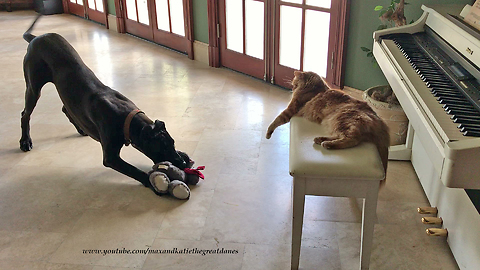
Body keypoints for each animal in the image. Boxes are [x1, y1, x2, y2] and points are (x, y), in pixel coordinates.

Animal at [19, 14, 188, 194]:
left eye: (172, 143)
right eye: (162, 147)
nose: (182, 163)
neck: (125, 117)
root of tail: (36, 38)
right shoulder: (111, 157)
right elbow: (133, 170)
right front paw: (151, 181)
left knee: (66, 108)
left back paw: (80, 128)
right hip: (33, 86)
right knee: (25, 114)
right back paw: (25, 141)